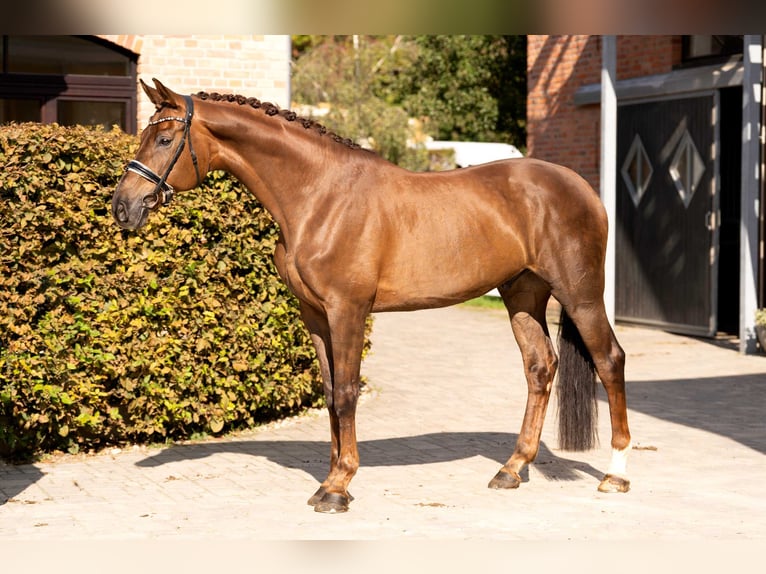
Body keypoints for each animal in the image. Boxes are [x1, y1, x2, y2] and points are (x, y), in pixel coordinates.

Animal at [111, 79, 632, 516]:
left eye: (164, 140)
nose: (123, 207)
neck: (319, 196)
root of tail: (580, 186)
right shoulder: (314, 315)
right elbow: (328, 392)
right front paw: (329, 477)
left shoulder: (347, 310)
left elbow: (346, 393)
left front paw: (337, 487)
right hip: (522, 293)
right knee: (540, 367)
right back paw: (511, 469)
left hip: (581, 294)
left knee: (609, 360)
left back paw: (616, 474)